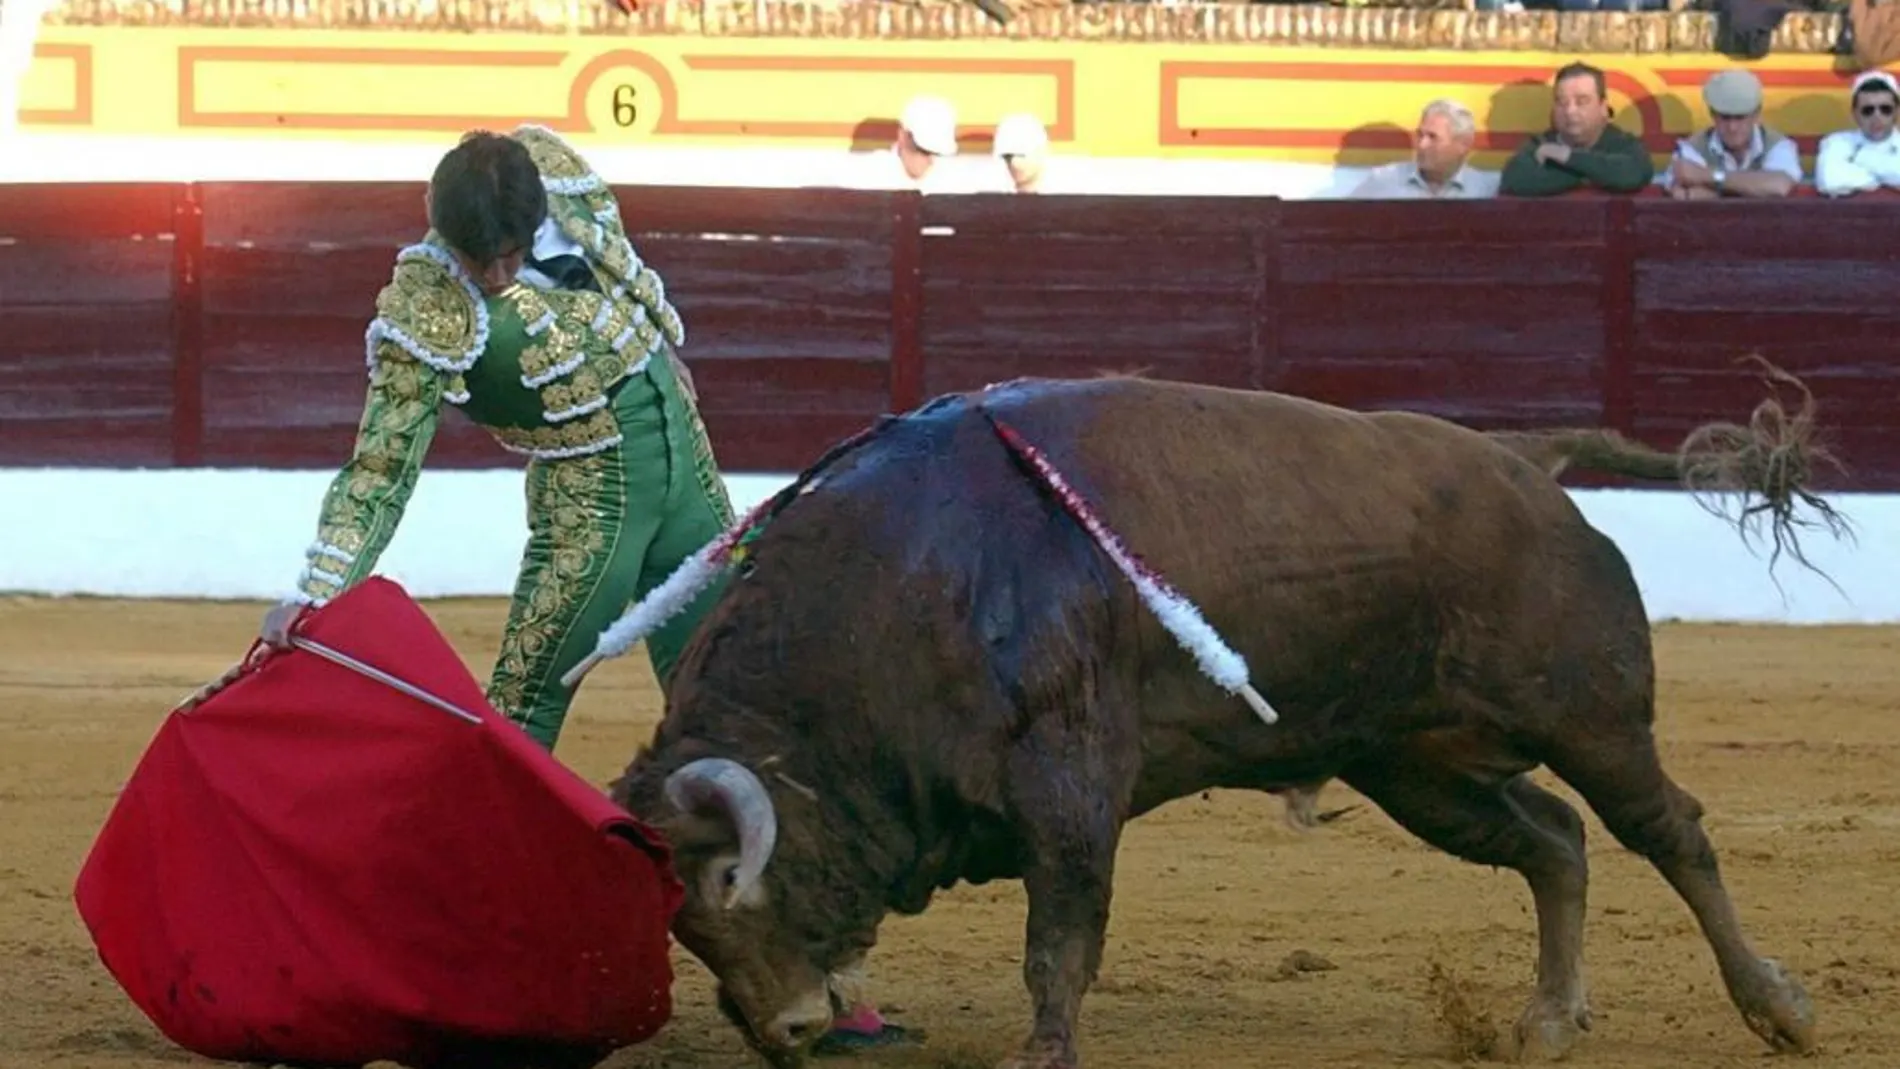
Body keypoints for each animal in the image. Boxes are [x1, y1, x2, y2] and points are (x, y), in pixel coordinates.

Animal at [604, 370, 1839, 1069]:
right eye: (680, 921)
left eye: (730, 882)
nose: (787, 1031)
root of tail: (1526, 465)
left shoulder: (1069, 789)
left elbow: (1059, 941)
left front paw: (1042, 1053)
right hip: (1415, 766)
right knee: (1555, 843)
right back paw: (1545, 1021)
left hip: (1591, 716)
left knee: (1667, 830)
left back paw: (1777, 1008)